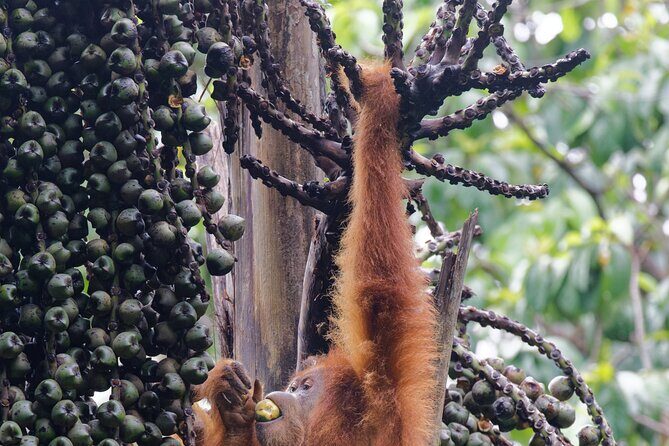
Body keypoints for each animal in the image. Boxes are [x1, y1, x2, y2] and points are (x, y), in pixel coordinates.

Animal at [192, 61, 439, 446]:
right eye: (294, 386)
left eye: (306, 388)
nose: (285, 392)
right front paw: (229, 403)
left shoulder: (386, 403)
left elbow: (378, 286)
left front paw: (378, 103)